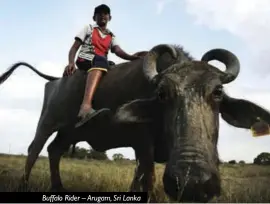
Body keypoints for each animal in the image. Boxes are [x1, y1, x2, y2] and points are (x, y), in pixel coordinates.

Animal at [1, 43, 268, 202]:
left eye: (218, 92)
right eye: (162, 93)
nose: (192, 183)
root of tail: (57, 79)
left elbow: (137, 179)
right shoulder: (142, 144)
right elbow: (147, 179)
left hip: (69, 133)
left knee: (54, 150)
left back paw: (58, 189)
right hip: (47, 122)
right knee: (34, 149)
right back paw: (24, 185)